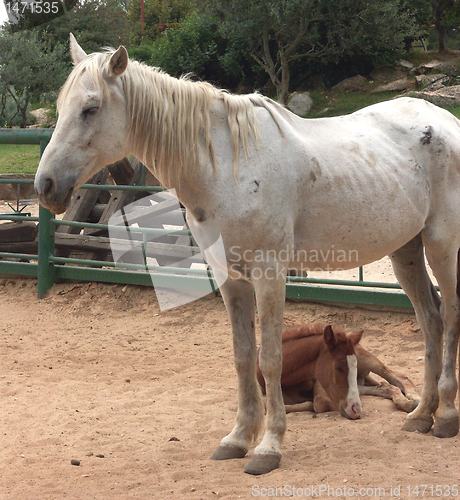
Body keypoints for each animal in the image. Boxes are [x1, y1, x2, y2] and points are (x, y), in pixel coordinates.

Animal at [35, 34, 460, 472]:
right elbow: (243, 357)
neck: (225, 167)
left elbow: (270, 357)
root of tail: (446, 121)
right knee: (430, 321)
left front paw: (269, 446)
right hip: (406, 251)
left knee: (449, 316)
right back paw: (421, 415)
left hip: (441, 244)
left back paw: (445, 416)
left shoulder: (268, 274)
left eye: (90, 108)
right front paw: (238, 439)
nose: (45, 185)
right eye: (61, 107)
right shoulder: (230, 278)